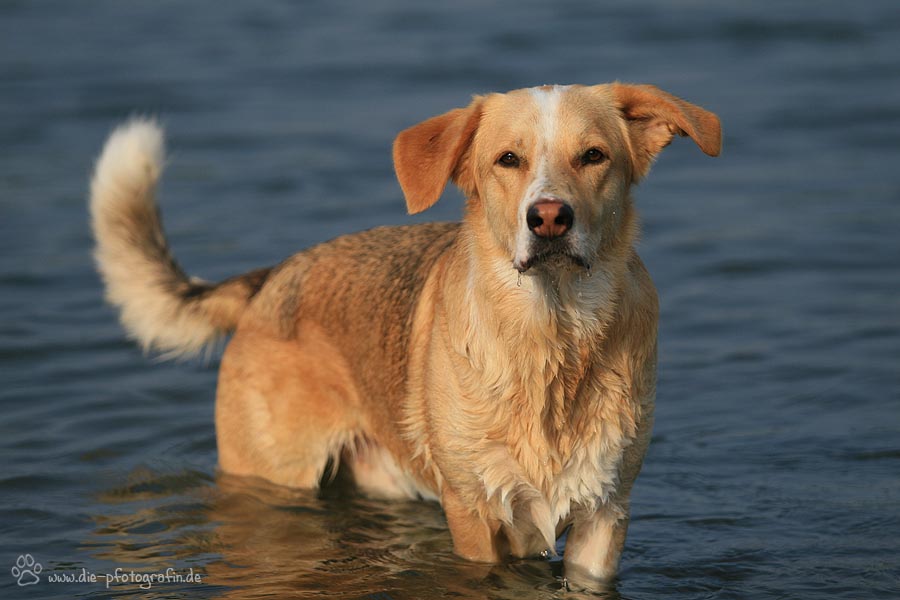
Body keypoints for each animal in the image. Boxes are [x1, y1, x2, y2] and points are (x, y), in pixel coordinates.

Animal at [91, 82, 720, 580]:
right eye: (507, 159)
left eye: (594, 156)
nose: (548, 218)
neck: (552, 333)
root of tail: (270, 277)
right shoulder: (473, 511)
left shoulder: (605, 514)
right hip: (271, 470)